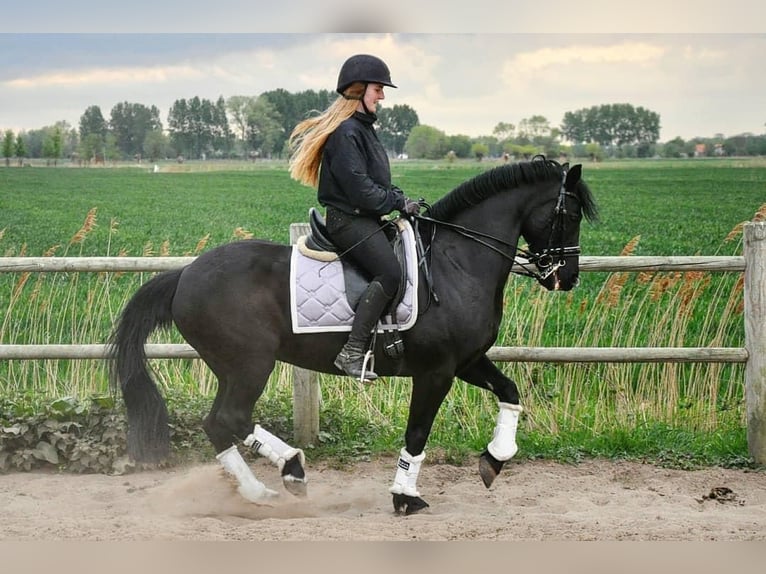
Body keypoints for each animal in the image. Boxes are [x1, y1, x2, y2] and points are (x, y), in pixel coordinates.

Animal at [109, 156, 600, 516]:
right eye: (572, 213)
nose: (568, 278)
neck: (455, 262)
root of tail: (184, 276)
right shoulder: (436, 372)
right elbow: (417, 433)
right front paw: (404, 497)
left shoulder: (467, 361)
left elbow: (510, 392)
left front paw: (494, 459)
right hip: (250, 364)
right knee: (228, 418)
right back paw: (290, 472)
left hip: (233, 368)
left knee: (219, 423)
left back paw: (262, 491)